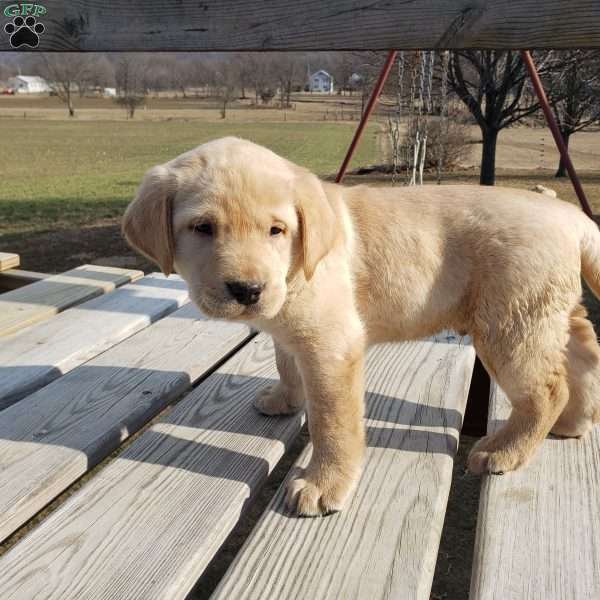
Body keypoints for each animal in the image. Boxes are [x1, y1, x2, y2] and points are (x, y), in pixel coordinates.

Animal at [122, 136, 600, 516]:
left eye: (277, 230)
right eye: (202, 227)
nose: (247, 290)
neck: (297, 267)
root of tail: (570, 215)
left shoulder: (331, 345)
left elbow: (333, 424)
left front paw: (323, 484)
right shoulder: (294, 331)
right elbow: (284, 362)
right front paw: (285, 399)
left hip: (511, 324)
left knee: (546, 389)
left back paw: (505, 450)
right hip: (547, 311)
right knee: (584, 351)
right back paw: (575, 421)